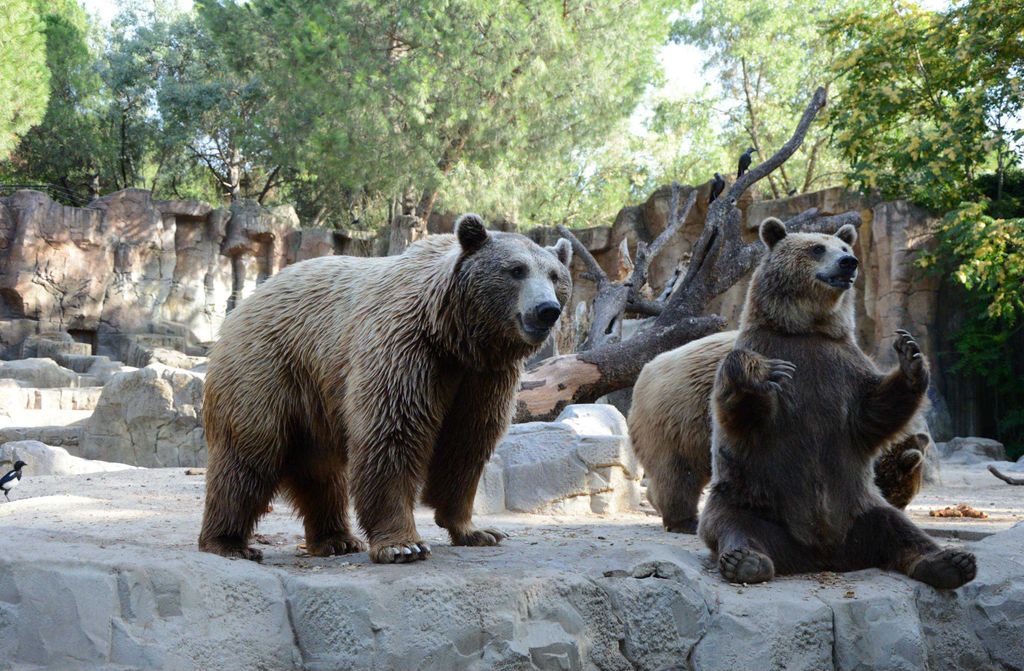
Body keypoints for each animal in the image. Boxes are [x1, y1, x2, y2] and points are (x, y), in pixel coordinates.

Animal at [197, 214, 572, 564]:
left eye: (554, 275)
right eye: (516, 270)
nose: (546, 310)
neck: (455, 335)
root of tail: (246, 303)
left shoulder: (484, 377)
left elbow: (467, 443)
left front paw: (476, 530)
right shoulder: (406, 349)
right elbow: (393, 433)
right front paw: (404, 544)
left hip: (314, 397)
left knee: (320, 471)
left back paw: (336, 539)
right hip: (267, 370)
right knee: (248, 457)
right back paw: (228, 542)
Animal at [697, 217, 975, 588]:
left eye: (845, 247)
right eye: (817, 248)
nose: (849, 263)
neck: (807, 329)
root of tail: (822, 555)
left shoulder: (842, 367)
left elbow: (873, 411)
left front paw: (911, 355)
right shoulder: (771, 349)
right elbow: (743, 414)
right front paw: (760, 374)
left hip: (861, 507)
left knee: (899, 528)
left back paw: (951, 561)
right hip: (751, 498)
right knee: (733, 524)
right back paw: (746, 561)